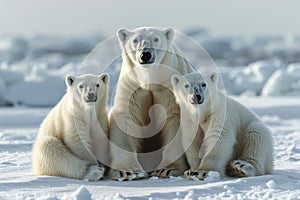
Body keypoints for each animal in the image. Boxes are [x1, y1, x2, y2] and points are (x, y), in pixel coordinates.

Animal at [109, 26, 193, 180]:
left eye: (156, 39)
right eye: (135, 40)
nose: (145, 55)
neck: (149, 78)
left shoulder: (169, 87)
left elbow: (174, 119)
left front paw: (166, 169)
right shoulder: (132, 86)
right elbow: (125, 119)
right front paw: (129, 171)